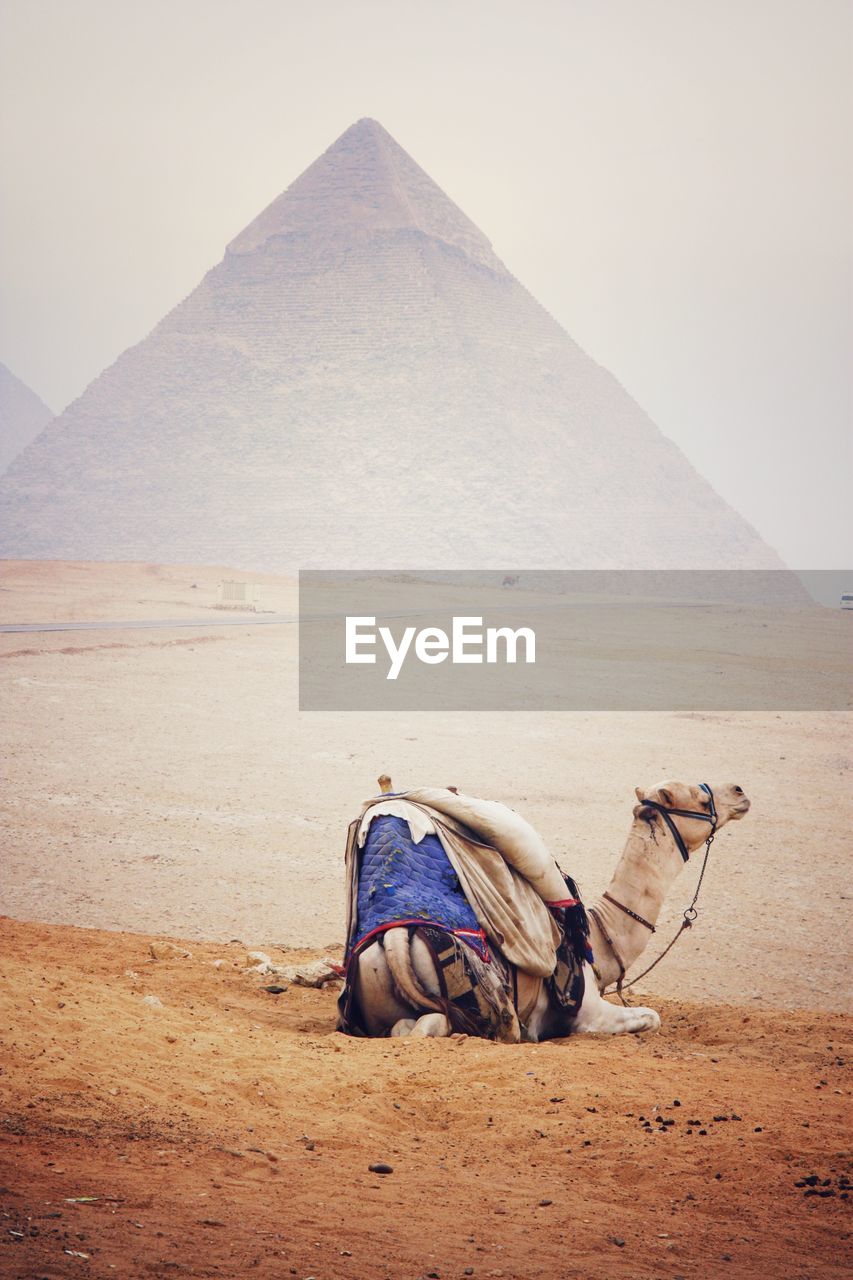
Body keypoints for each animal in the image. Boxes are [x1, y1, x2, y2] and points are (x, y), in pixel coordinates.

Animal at [343, 778, 747, 1039]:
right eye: (697, 798)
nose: (740, 792)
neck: (598, 941)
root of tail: (394, 941)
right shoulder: (588, 1013)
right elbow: (652, 1016)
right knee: (428, 1027)